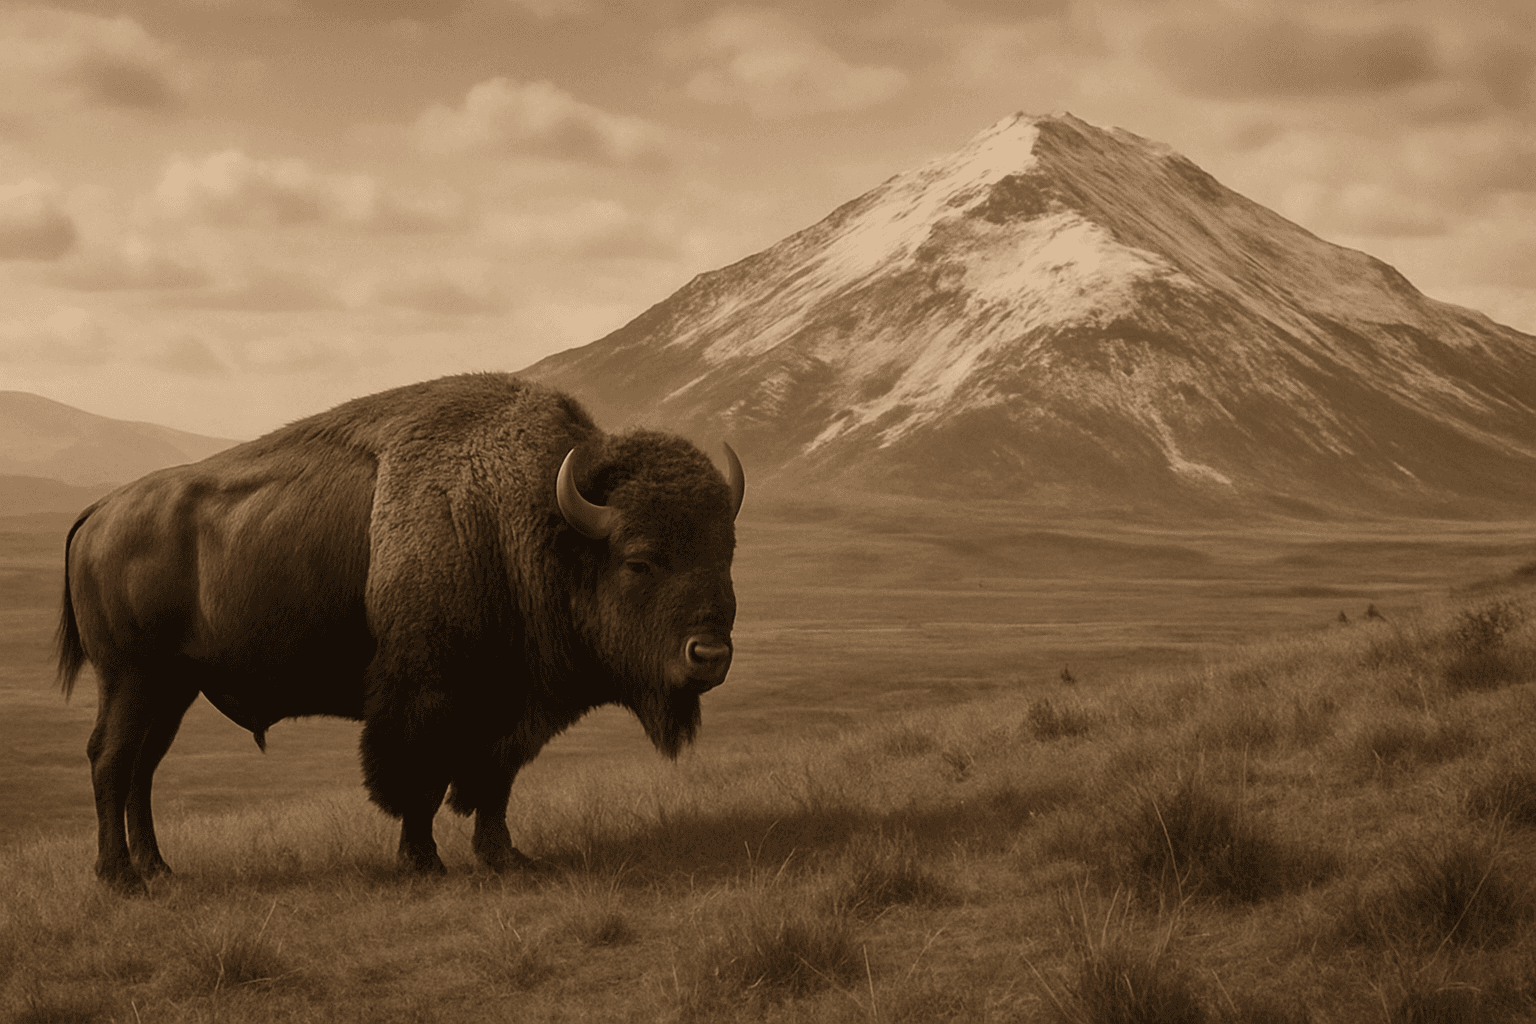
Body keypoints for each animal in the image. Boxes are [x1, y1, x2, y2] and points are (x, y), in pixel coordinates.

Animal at [56, 373, 744, 891]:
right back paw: (122, 878)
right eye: (639, 560)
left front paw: (507, 858)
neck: (523, 522)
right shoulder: (425, 701)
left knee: (142, 768)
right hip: (132, 679)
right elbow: (419, 784)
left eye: (726, 551)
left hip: (172, 689)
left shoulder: (507, 712)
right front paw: (424, 864)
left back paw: (159, 869)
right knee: (111, 760)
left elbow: (494, 784)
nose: (709, 655)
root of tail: (99, 512)